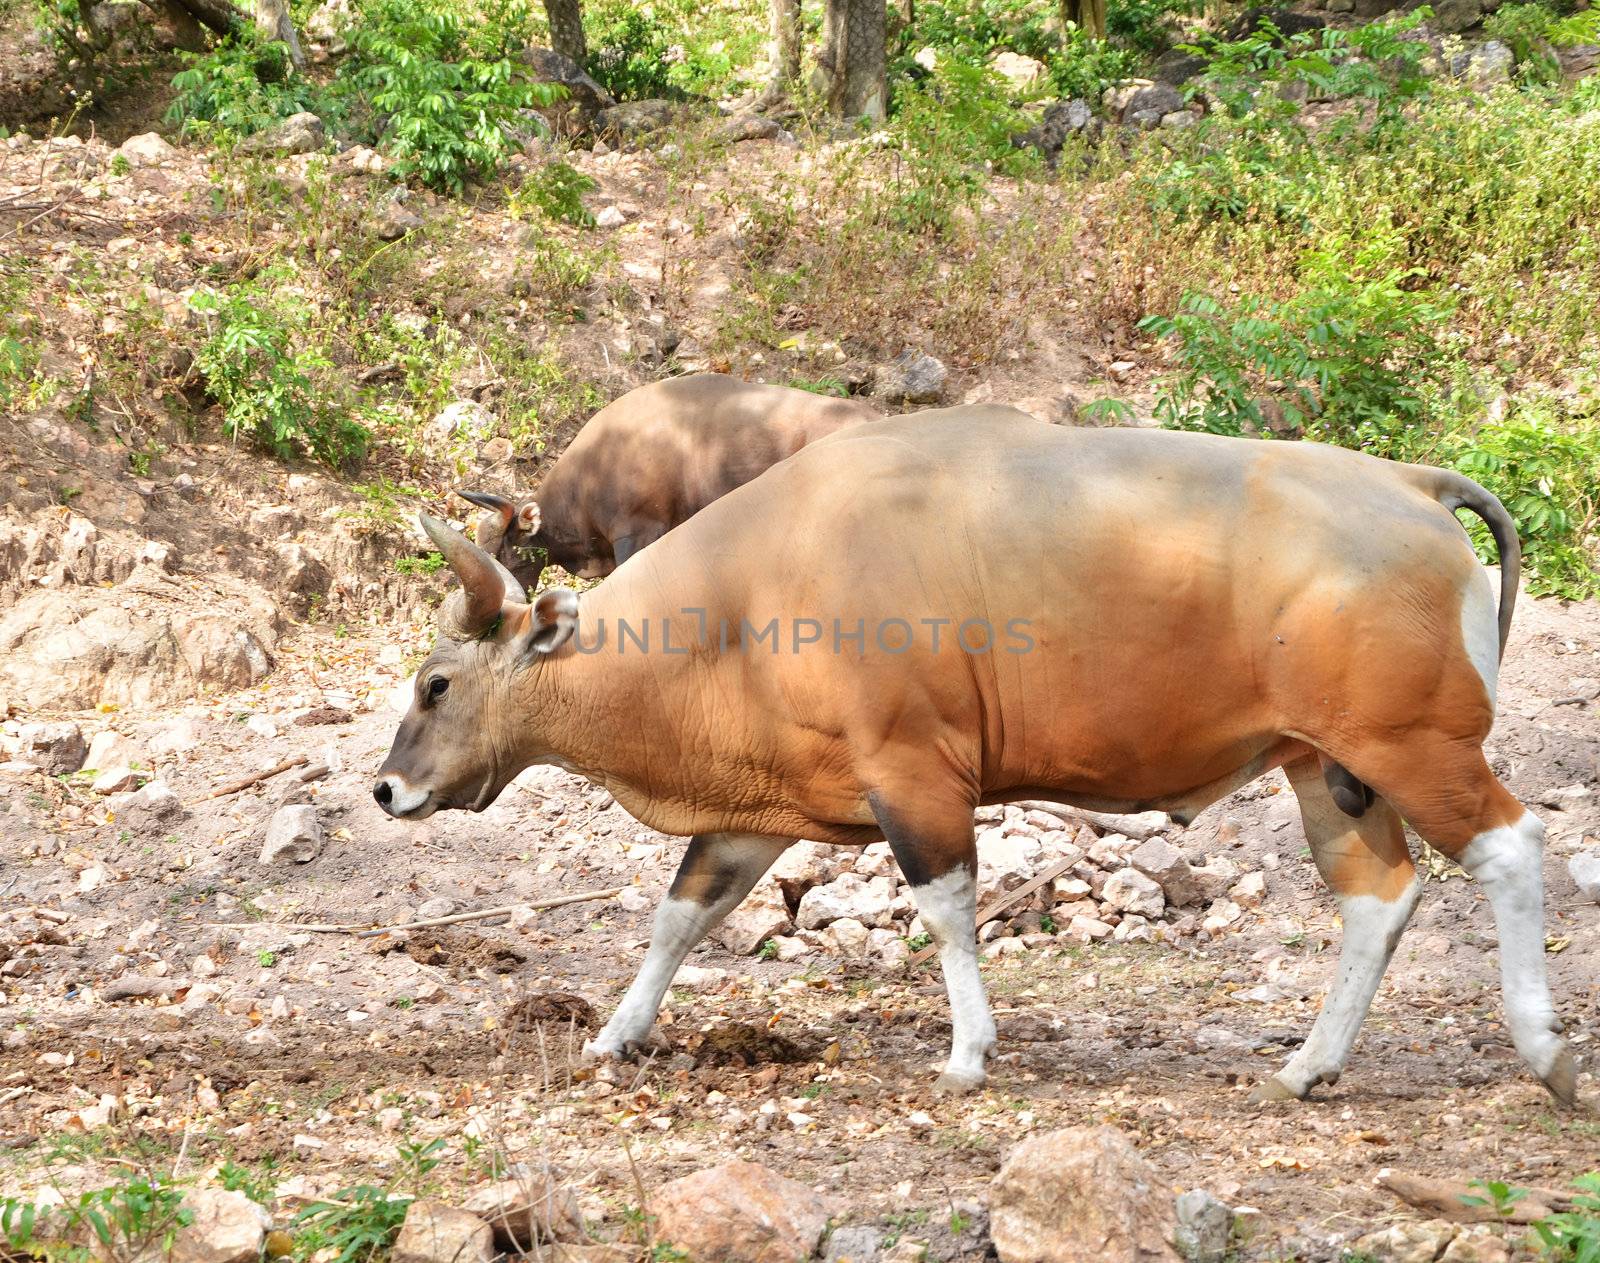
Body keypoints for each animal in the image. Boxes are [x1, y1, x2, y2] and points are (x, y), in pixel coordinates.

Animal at [374, 406, 1574, 1101]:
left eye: (436, 684)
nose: (386, 789)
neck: (754, 593)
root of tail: (1416, 485)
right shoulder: (753, 814)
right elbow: (680, 917)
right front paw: (616, 1037)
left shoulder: (913, 776)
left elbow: (946, 908)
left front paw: (967, 1054)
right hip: (1324, 764)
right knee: (1379, 894)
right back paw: (1311, 1064)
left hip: (1415, 746)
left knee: (1511, 847)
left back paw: (1544, 1050)